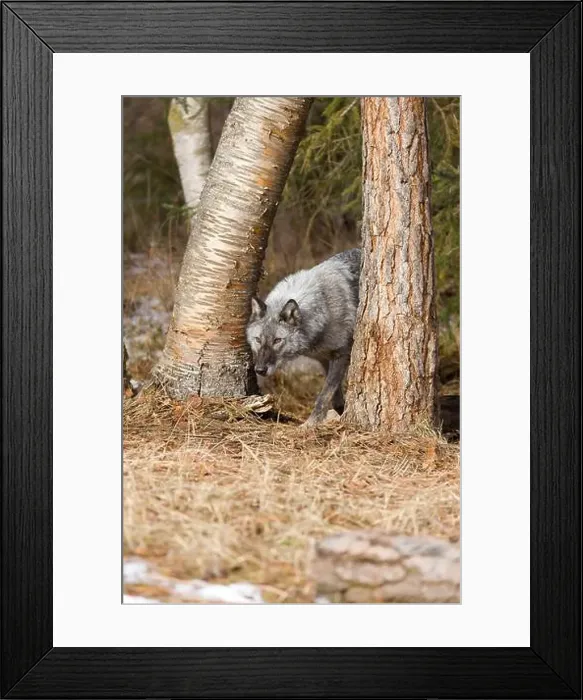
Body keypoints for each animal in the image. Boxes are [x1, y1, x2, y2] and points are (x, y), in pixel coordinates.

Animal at [246, 248, 361, 425]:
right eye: (258, 340)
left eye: (277, 340)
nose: (260, 370)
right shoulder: (323, 359)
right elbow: (334, 396)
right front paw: (339, 412)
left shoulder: (341, 355)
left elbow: (324, 394)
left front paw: (311, 423)